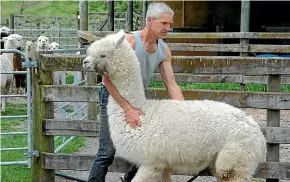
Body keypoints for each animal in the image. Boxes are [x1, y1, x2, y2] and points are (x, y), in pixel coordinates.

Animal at [82, 30, 268, 182]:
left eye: (103, 55)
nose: (84, 62)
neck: (142, 111)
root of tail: (259, 135)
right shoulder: (163, 165)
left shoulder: (152, 162)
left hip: (234, 160)